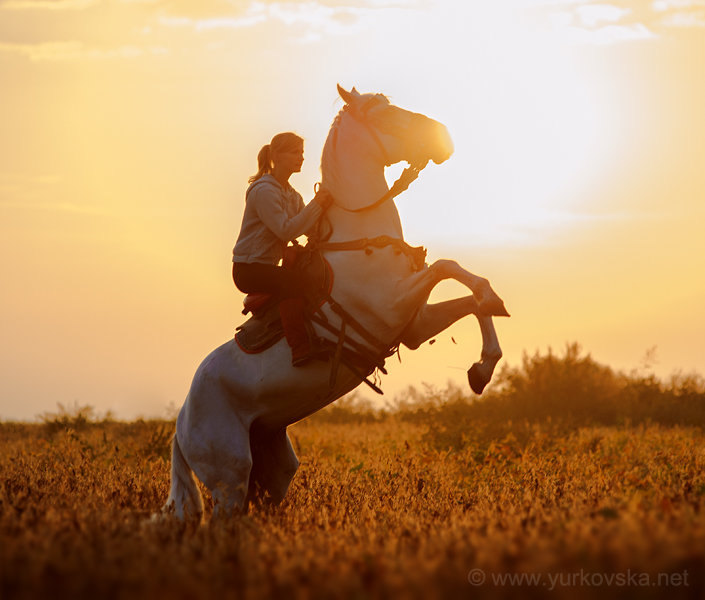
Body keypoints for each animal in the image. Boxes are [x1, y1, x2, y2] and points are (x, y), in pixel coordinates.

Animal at [164, 85, 506, 520]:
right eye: (385, 114)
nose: (444, 136)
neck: (360, 239)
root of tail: (180, 424)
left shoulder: (413, 325)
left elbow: (471, 297)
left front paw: (483, 367)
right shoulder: (392, 306)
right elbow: (450, 267)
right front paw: (489, 321)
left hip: (272, 469)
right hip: (230, 479)